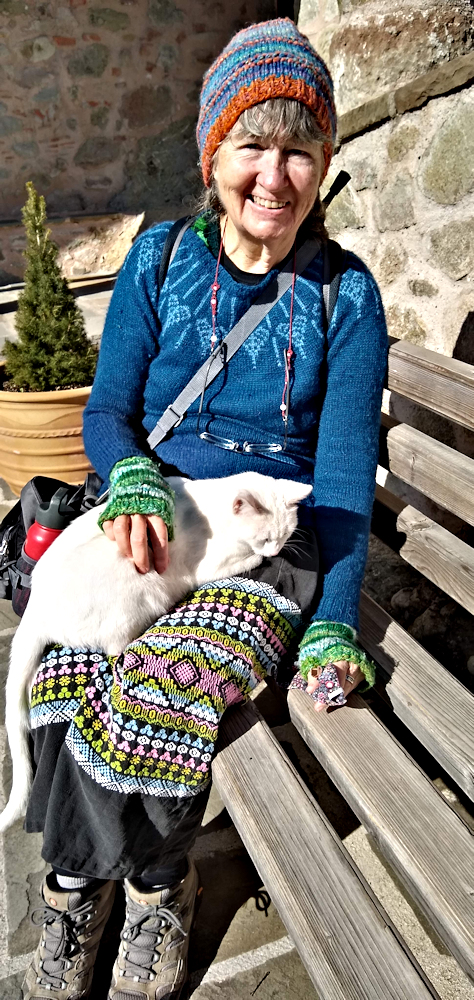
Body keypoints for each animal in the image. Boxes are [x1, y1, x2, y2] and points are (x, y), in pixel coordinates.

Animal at [0, 472, 312, 832]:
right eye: (265, 538)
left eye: (284, 535)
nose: (277, 550)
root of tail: (36, 608)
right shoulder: (206, 568)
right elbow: (244, 560)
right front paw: (258, 558)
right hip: (140, 589)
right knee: (115, 646)